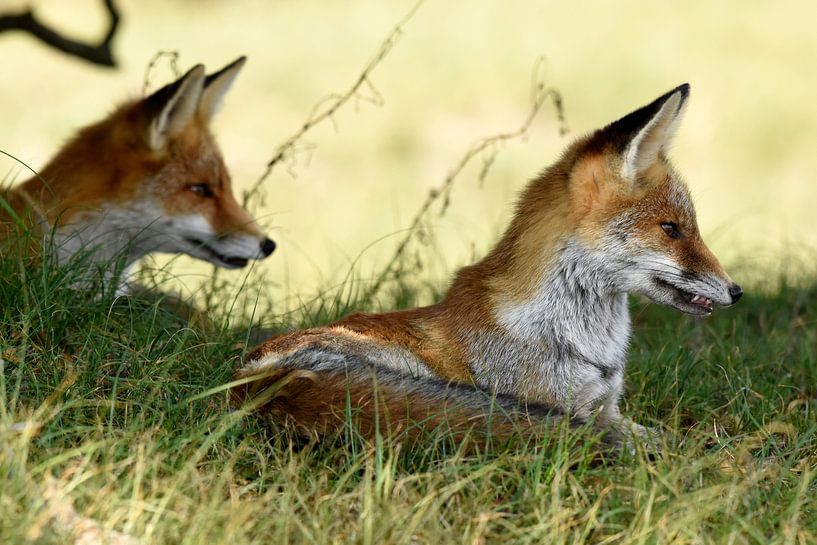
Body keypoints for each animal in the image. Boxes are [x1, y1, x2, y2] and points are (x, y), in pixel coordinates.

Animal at [230, 83, 740, 444]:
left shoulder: (609, 409)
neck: (590, 350)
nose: (736, 291)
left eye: (688, 225)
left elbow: (673, 437)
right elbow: (663, 445)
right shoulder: (569, 410)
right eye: (671, 228)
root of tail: (250, 377)